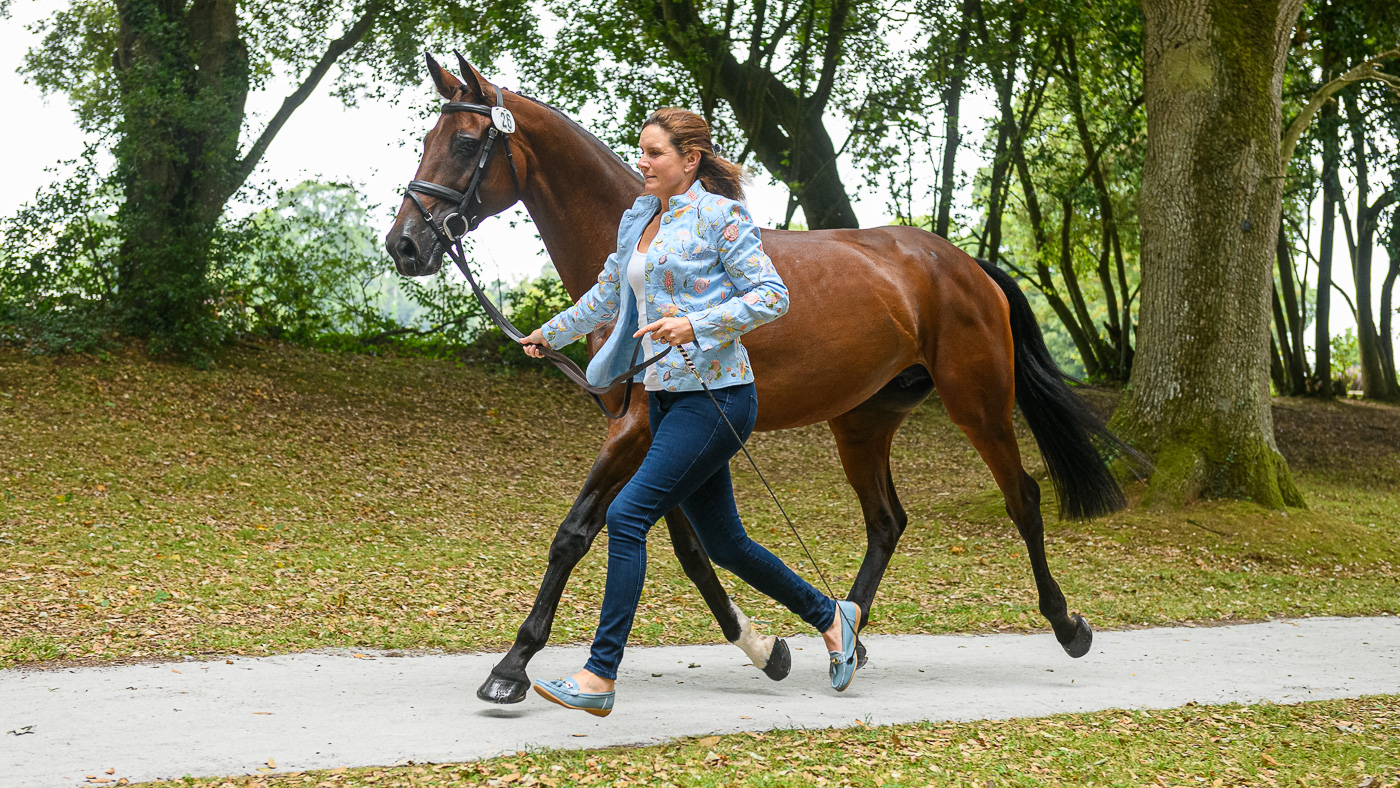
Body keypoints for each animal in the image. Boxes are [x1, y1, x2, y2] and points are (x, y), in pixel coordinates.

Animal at [385, 54, 1132, 705]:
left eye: (465, 142)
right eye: (427, 139)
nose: (405, 245)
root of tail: (965, 265)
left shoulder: (637, 430)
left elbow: (576, 533)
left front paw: (511, 667)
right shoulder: (660, 434)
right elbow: (690, 550)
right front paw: (763, 648)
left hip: (978, 404)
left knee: (1023, 499)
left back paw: (1066, 626)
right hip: (861, 422)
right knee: (886, 521)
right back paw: (848, 636)